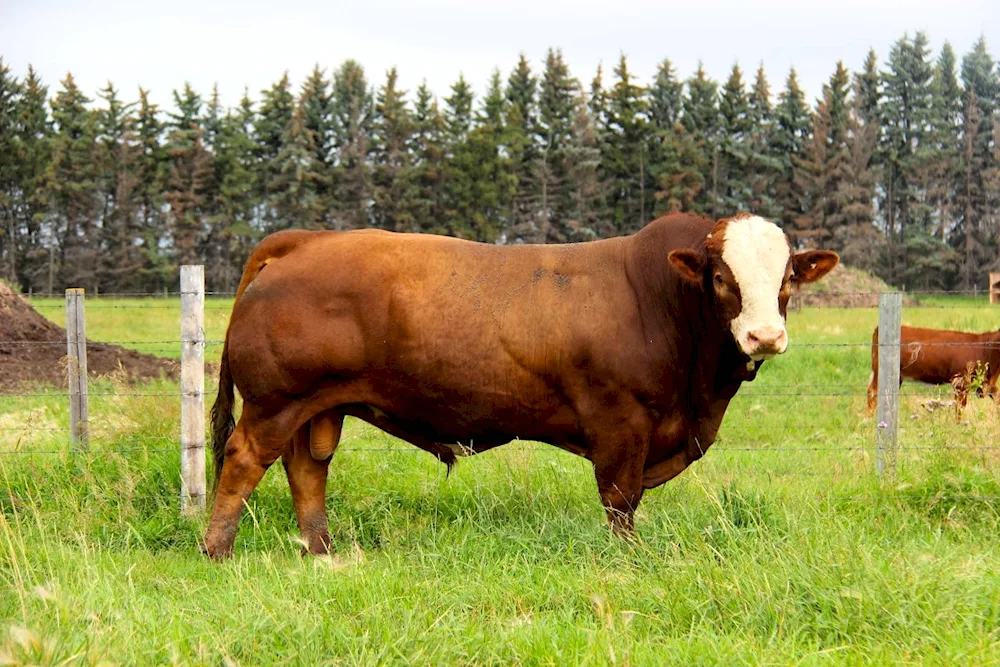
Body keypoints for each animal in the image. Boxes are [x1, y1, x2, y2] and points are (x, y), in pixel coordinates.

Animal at [201, 214, 836, 560]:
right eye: (723, 278)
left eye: (787, 280)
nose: (764, 335)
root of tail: (304, 240)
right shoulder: (621, 422)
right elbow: (621, 501)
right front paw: (628, 557)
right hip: (275, 401)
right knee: (242, 460)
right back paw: (218, 550)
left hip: (316, 405)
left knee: (307, 469)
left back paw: (323, 552)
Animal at [868, 324, 1000, 418]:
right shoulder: (961, 383)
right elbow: (959, 409)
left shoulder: (990, 384)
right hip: (879, 371)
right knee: (873, 392)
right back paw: (868, 420)